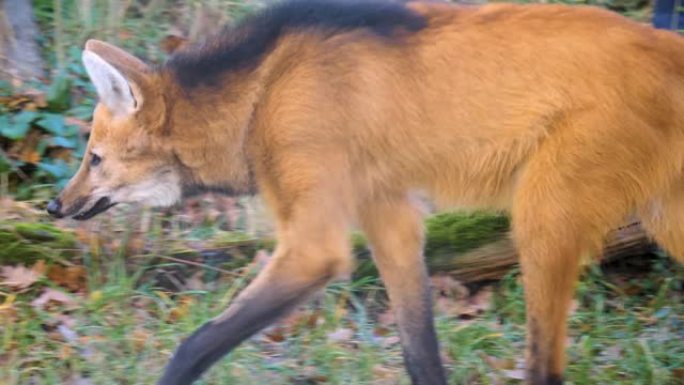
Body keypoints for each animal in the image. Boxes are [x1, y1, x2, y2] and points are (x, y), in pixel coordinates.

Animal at [45, 0, 684, 384]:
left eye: (94, 159)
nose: (55, 204)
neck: (261, 94)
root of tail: (666, 47)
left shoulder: (315, 244)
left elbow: (193, 344)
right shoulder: (390, 218)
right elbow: (420, 350)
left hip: (543, 219)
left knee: (545, 365)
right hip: (663, 213)